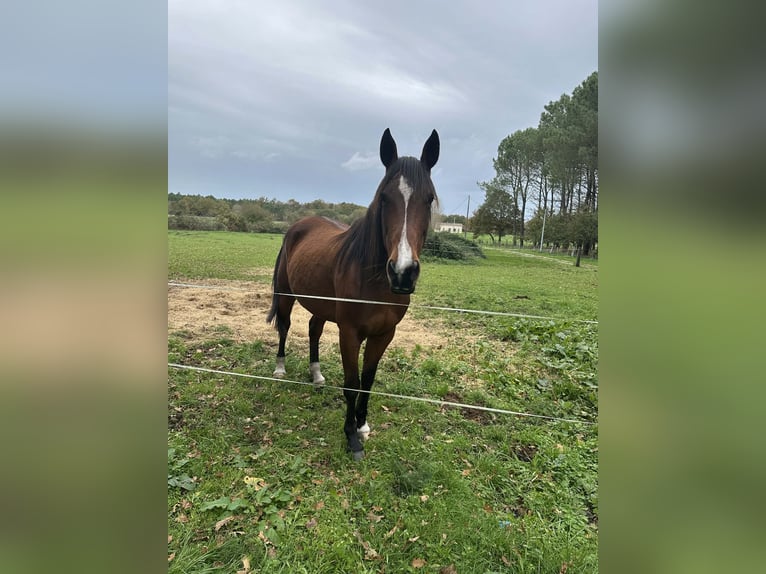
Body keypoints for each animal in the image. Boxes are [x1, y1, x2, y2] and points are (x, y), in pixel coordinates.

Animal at [267, 128, 439, 460]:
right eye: (384, 198)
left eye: (428, 199)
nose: (402, 272)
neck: (376, 284)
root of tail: (299, 225)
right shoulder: (349, 332)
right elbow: (352, 383)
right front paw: (351, 437)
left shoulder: (384, 334)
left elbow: (368, 381)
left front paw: (362, 425)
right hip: (285, 295)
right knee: (285, 326)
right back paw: (280, 368)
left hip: (320, 305)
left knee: (313, 329)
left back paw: (317, 375)